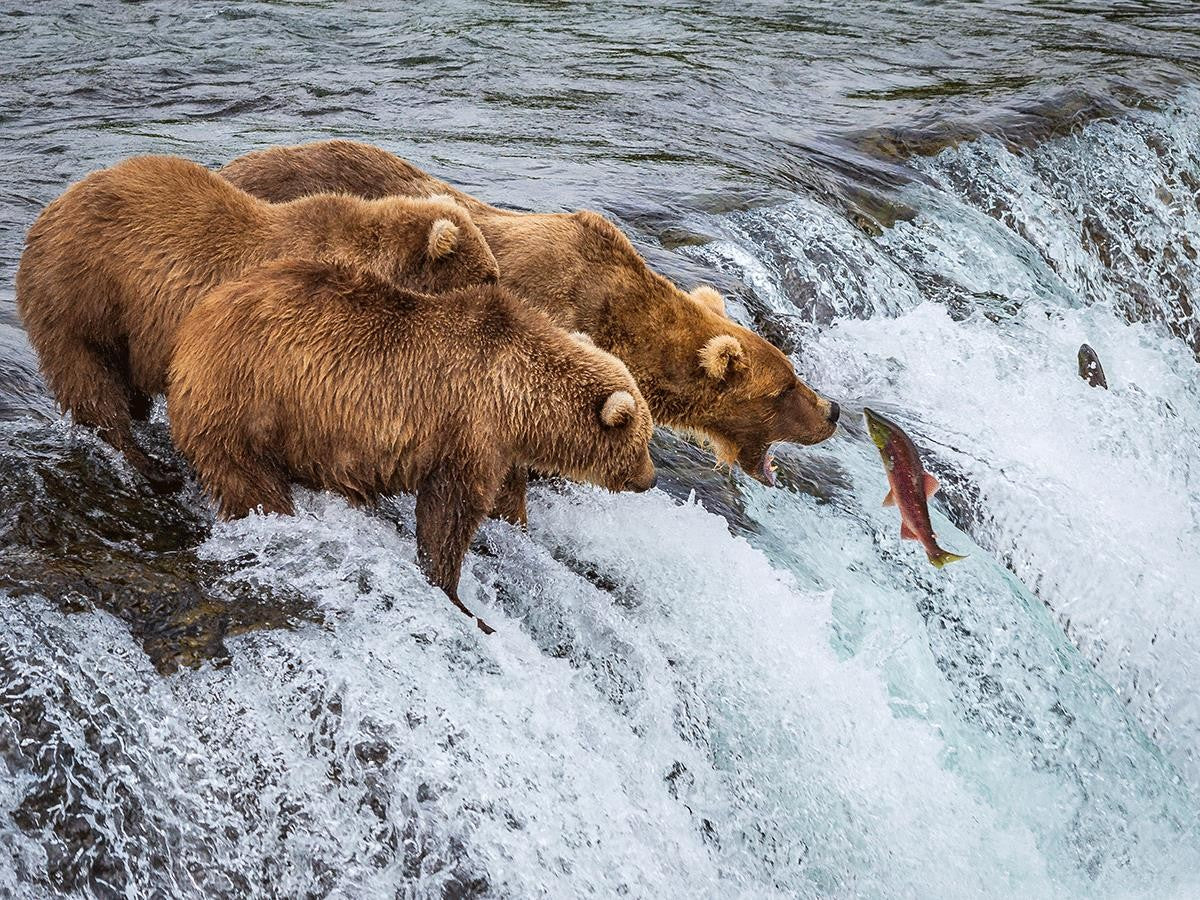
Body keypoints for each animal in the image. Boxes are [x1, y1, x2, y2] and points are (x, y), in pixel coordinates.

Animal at [15, 154, 500, 492]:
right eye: (489, 275)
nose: (502, 292)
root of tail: (49, 210)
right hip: (82, 296)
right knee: (90, 382)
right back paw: (152, 466)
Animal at [168, 257, 657, 634]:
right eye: (643, 440)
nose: (650, 479)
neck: (518, 397)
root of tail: (193, 326)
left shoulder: (498, 445)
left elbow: (504, 498)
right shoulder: (468, 427)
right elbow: (450, 512)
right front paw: (459, 598)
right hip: (247, 401)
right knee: (250, 481)